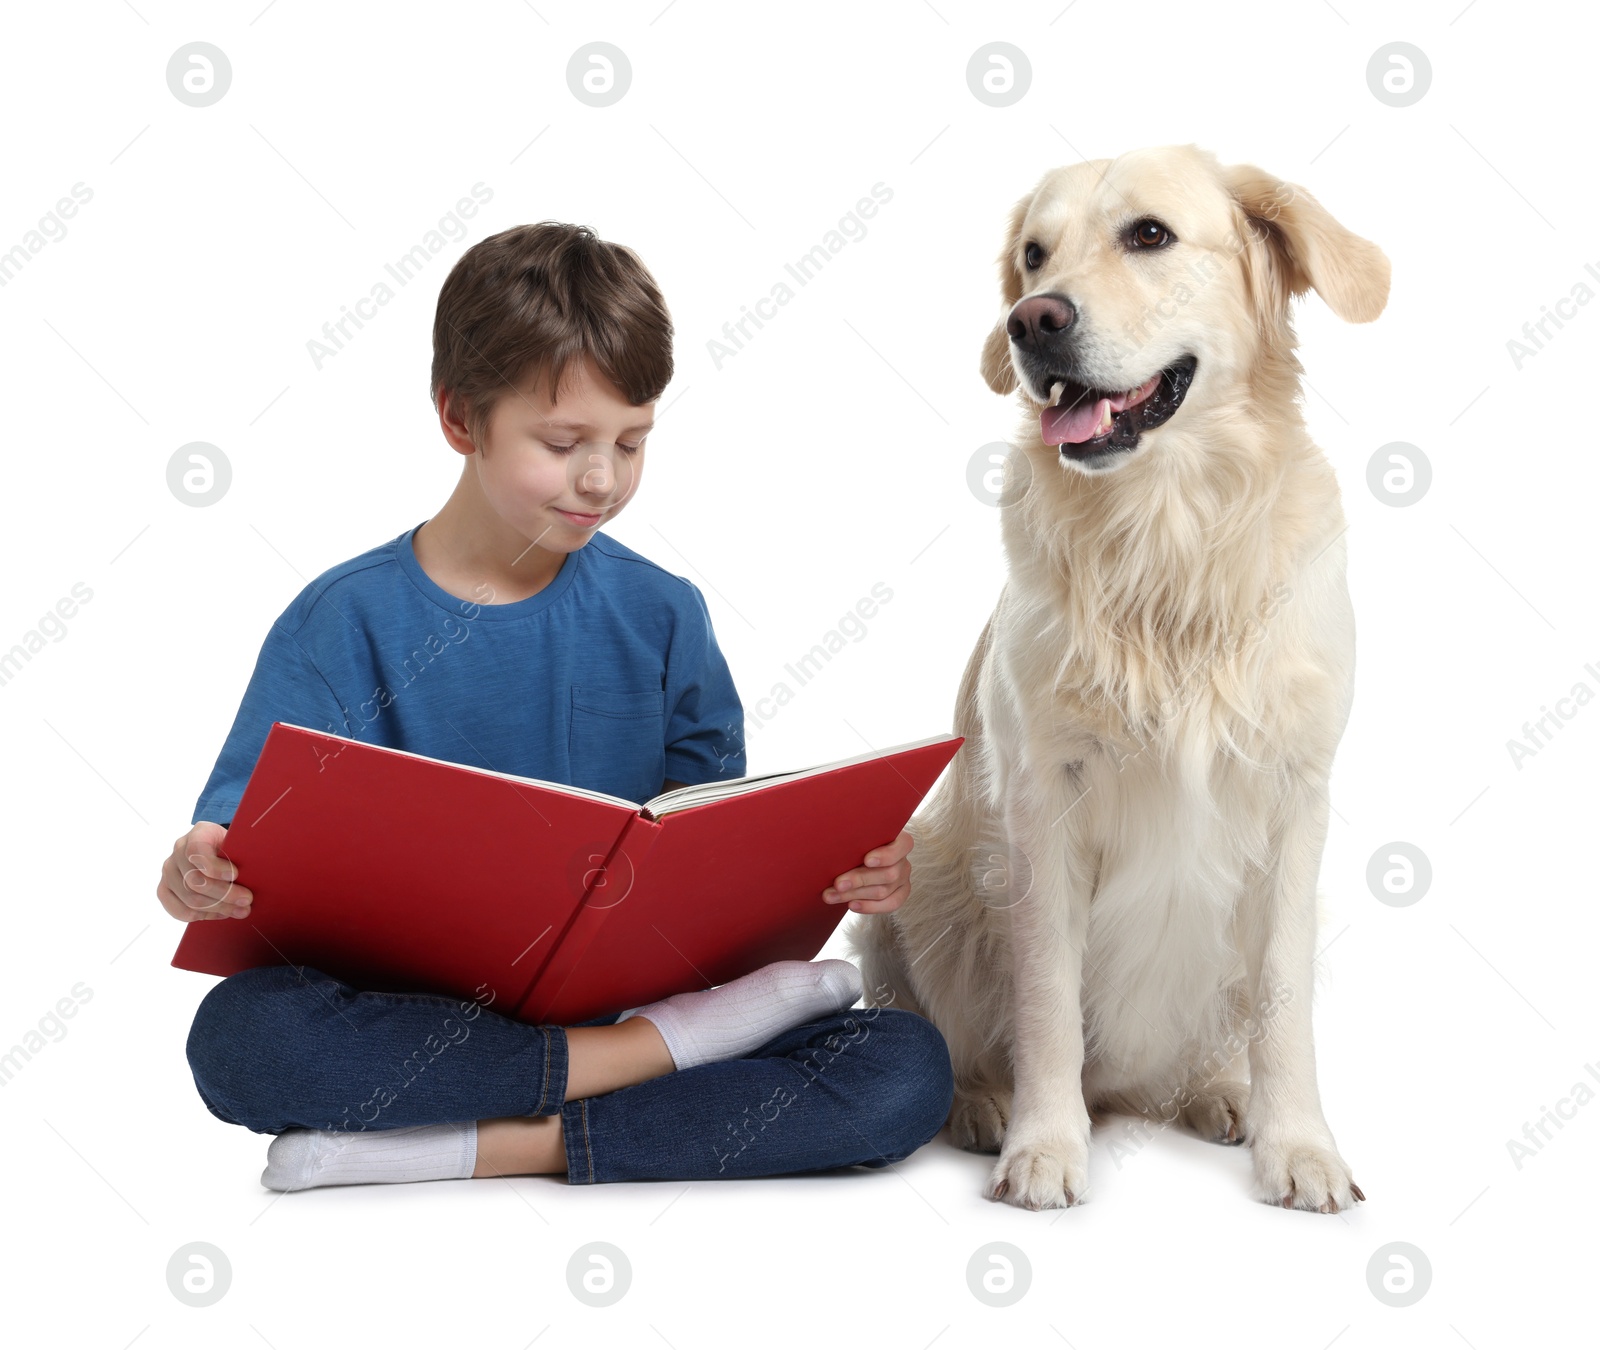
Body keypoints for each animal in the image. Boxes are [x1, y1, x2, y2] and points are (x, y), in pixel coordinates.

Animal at [851, 142, 1388, 1209]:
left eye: (1150, 234)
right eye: (1034, 253)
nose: (1032, 320)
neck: (1167, 533)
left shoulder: (1296, 796)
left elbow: (1282, 1000)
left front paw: (1299, 1147)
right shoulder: (1041, 798)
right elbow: (1048, 1001)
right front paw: (1044, 1147)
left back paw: (1218, 1093)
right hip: (919, 868)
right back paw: (980, 1106)